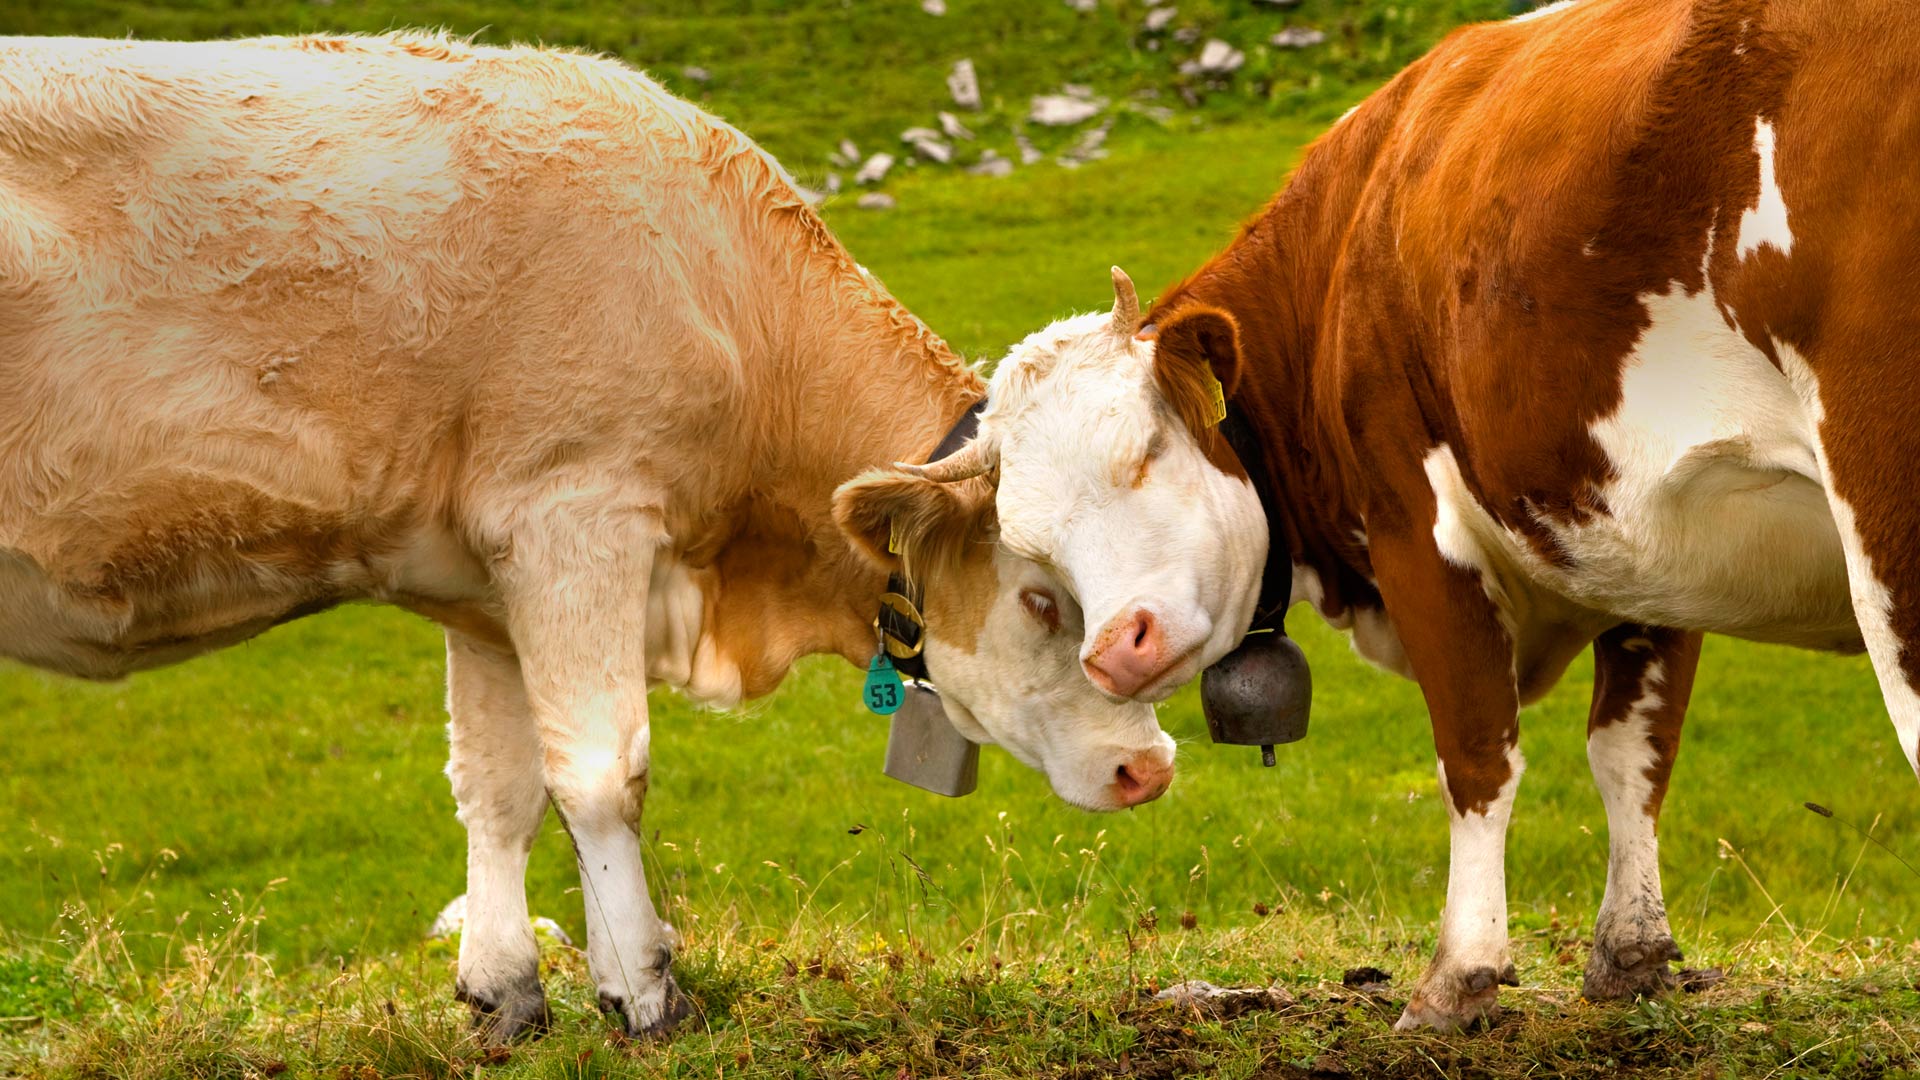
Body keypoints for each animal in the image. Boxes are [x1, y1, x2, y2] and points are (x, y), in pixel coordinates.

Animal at [0, 37, 1167, 1037]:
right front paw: (645, 989)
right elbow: (605, 770)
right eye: (1040, 598)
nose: (1150, 770)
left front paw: (506, 988)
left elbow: (501, 786)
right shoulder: (573, 510)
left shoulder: (481, 584)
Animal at [910, 0, 1920, 1030]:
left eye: (1146, 451)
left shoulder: (1417, 528)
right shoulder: (1643, 543)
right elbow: (1631, 751)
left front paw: (1457, 977)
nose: (1119, 651)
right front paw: (1631, 952)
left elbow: (1476, 750)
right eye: (1031, 545)